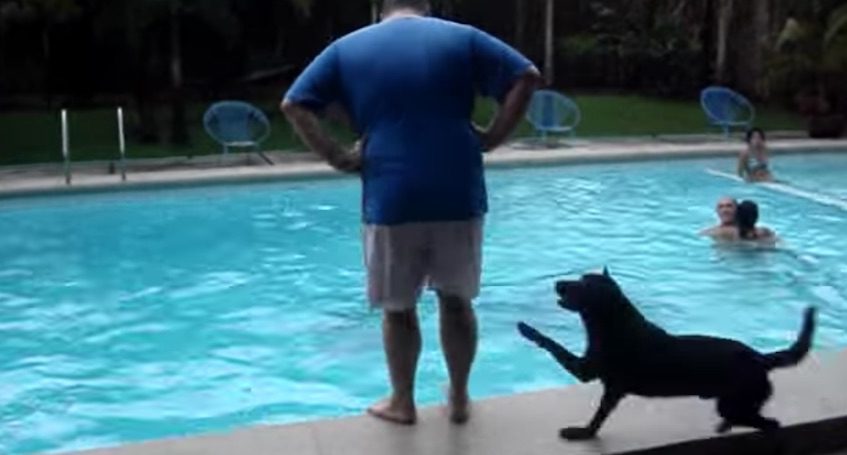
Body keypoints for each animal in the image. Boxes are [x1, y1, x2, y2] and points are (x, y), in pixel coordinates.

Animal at [516, 268, 816, 440]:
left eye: (582, 285)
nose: (557, 283)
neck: (614, 323)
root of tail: (761, 357)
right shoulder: (606, 385)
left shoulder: (589, 374)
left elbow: (553, 345)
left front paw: (527, 329)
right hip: (734, 402)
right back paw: (725, 426)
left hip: (735, 401)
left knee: (770, 424)